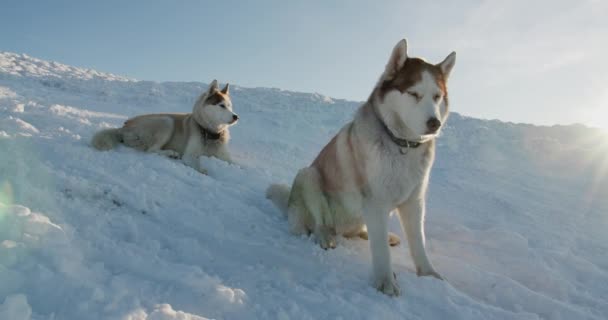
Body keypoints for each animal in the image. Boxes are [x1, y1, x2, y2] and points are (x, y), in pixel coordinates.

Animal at [90, 81, 238, 174]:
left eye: (230, 106)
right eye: (221, 105)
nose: (236, 116)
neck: (209, 132)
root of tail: (125, 126)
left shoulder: (225, 157)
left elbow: (235, 164)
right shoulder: (189, 156)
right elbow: (198, 167)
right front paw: (204, 170)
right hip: (166, 121)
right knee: (151, 150)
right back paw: (170, 153)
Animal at [268, 39, 456, 296]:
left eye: (437, 96)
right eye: (414, 94)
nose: (434, 123)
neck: (402, 145)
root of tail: (289, 207)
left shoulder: (414, 202)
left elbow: (419, 243)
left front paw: (429, 275)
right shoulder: (375, 202)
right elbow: (381, 253)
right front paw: (385, 283)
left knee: (362, 232)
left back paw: (382, 236)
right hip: (308, 175)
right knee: (319, 224)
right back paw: (326, 237)